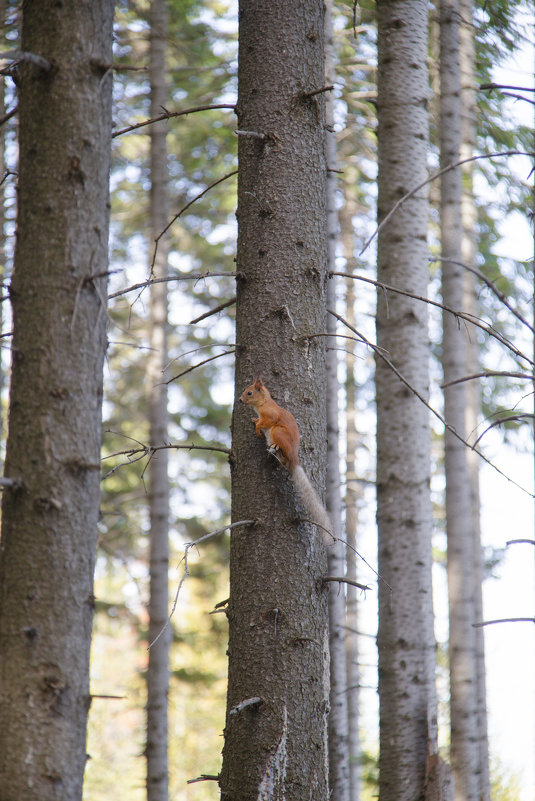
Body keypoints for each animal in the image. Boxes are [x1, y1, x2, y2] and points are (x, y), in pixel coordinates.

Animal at [241, 380, 332, 544]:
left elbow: (265, 422)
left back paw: (276, 448)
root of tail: (294, 457)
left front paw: (257, 427)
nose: (240, 400)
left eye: (249, 392)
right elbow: (259, 421)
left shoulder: (271, 414)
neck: (263, 403)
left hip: (278, 431)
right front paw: (255, 420)